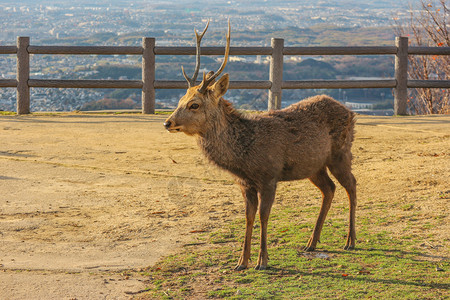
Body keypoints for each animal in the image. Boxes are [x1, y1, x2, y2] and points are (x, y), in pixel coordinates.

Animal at [163, 20, 356, 270]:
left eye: (194, 104)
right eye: (180, 100)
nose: (168, 122)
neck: (244, 157)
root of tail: (350, 112)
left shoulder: (269, 176)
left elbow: (264, 216)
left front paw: (262, 261)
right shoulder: (245, 184)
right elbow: (248, 217)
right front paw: (241, 262)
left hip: (341, 153)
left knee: (352, 185)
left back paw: (350, 240)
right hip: (314, 166)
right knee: (330, 189)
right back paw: (311, 243)